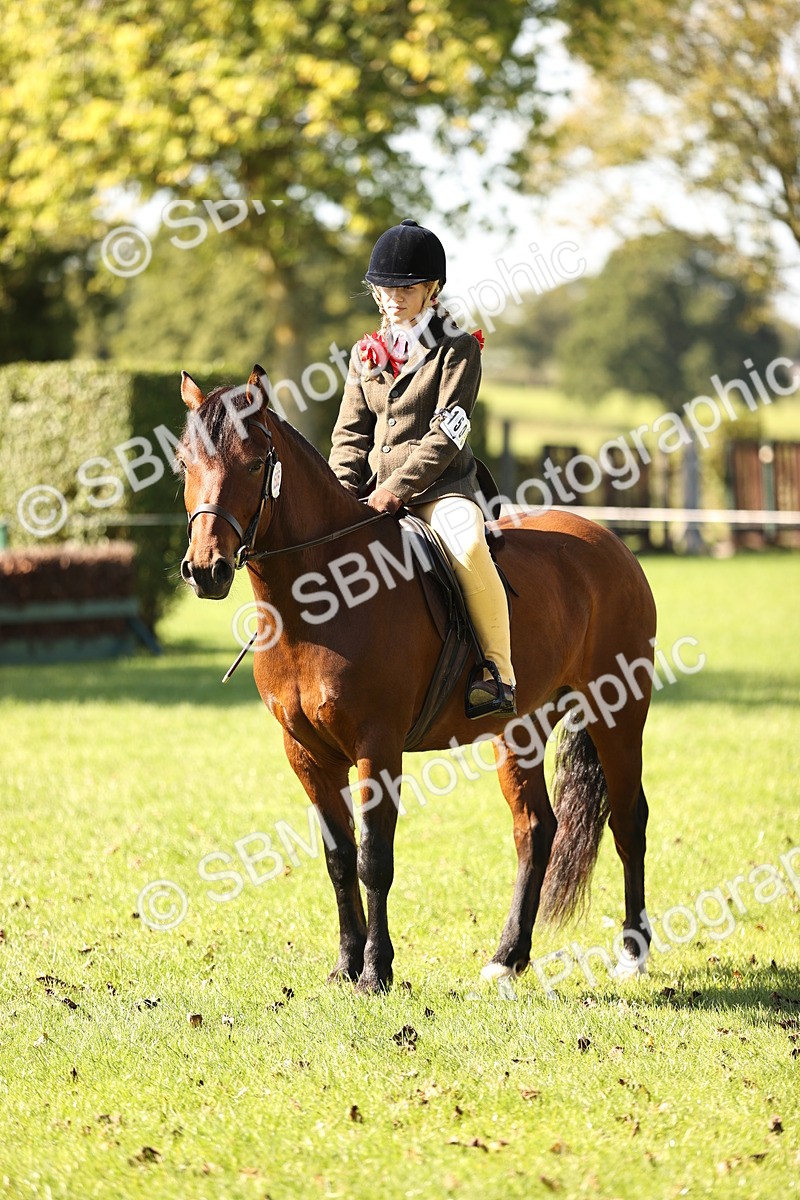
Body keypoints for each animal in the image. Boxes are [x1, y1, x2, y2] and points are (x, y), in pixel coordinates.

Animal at [177, 365, 658, 993]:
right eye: (184, 463)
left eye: (256, 463)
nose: (205, 569)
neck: (320, 595)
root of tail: (610, 544)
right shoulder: (305, 754)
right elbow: (338, 860)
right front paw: (345, 964)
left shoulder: (376, 748)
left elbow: (373, 858)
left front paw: (375, 971)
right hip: (520, 729)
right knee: (536, 829)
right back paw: (508, 958)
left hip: (618, 713)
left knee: (628, 821)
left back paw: (632, 953)